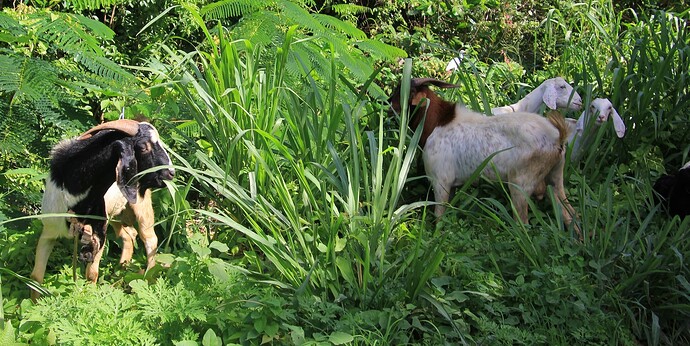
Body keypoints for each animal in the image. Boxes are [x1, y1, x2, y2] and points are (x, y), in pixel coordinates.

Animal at [31, 120, 175, 298]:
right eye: (143, 147)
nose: (170, 173)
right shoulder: (49, 231)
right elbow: (36, 276)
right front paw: (33, 303)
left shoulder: (99, 233)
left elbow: (91, 274)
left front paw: (89, 299)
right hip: (115, 215)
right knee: (129, 235)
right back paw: (121, 269)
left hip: (141, 207)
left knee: (150, 240)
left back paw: (148, 277)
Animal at [390, 78, 576, 235]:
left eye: (402, 89)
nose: (388, 104)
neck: (437, 123)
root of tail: (558, 137)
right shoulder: (452, 184)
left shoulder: (441, 180)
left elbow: (439, 216)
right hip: (556, 177)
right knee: (571, 216)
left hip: (521, 183)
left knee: (523, 223)